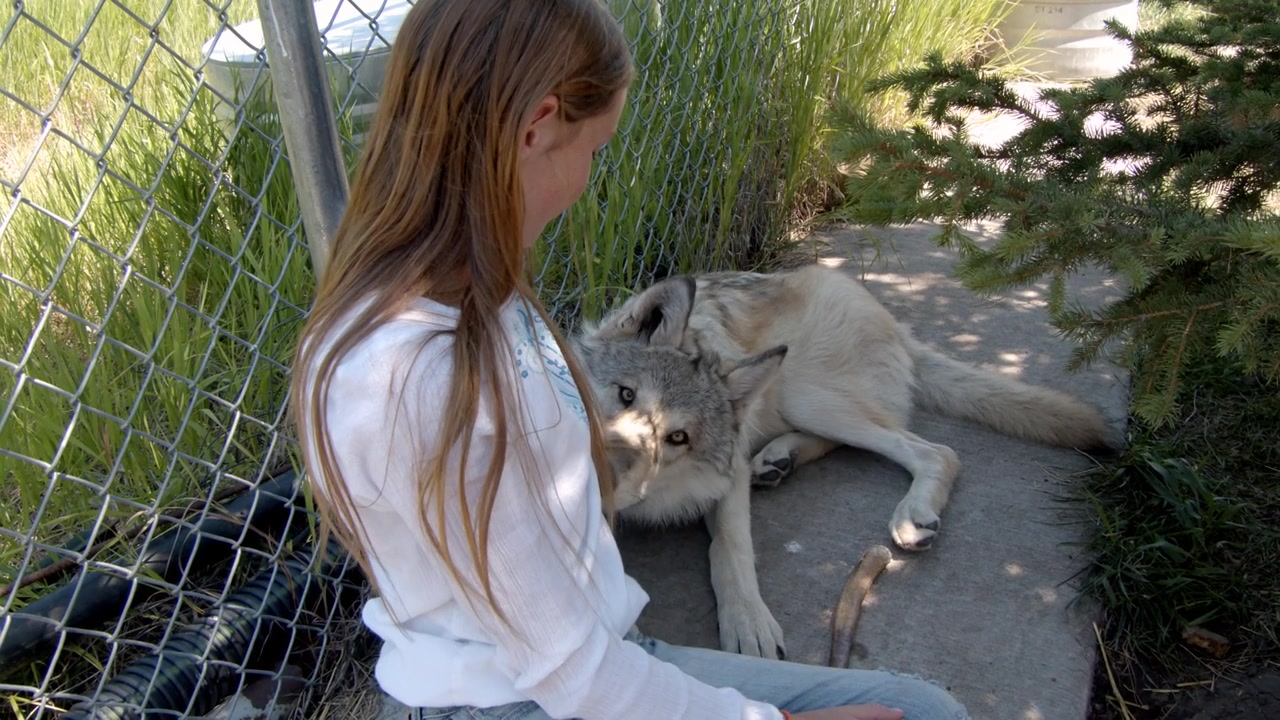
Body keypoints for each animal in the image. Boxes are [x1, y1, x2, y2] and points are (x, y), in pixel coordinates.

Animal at [569, 263, 1118, 660]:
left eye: (677, 437)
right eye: (625, 395)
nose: (611, 465)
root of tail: (890, 318)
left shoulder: (726, 480)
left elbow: (730, 550)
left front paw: (748, 621)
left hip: (809, 396)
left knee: (936, 451)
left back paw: (910, 513)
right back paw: (777, 459)